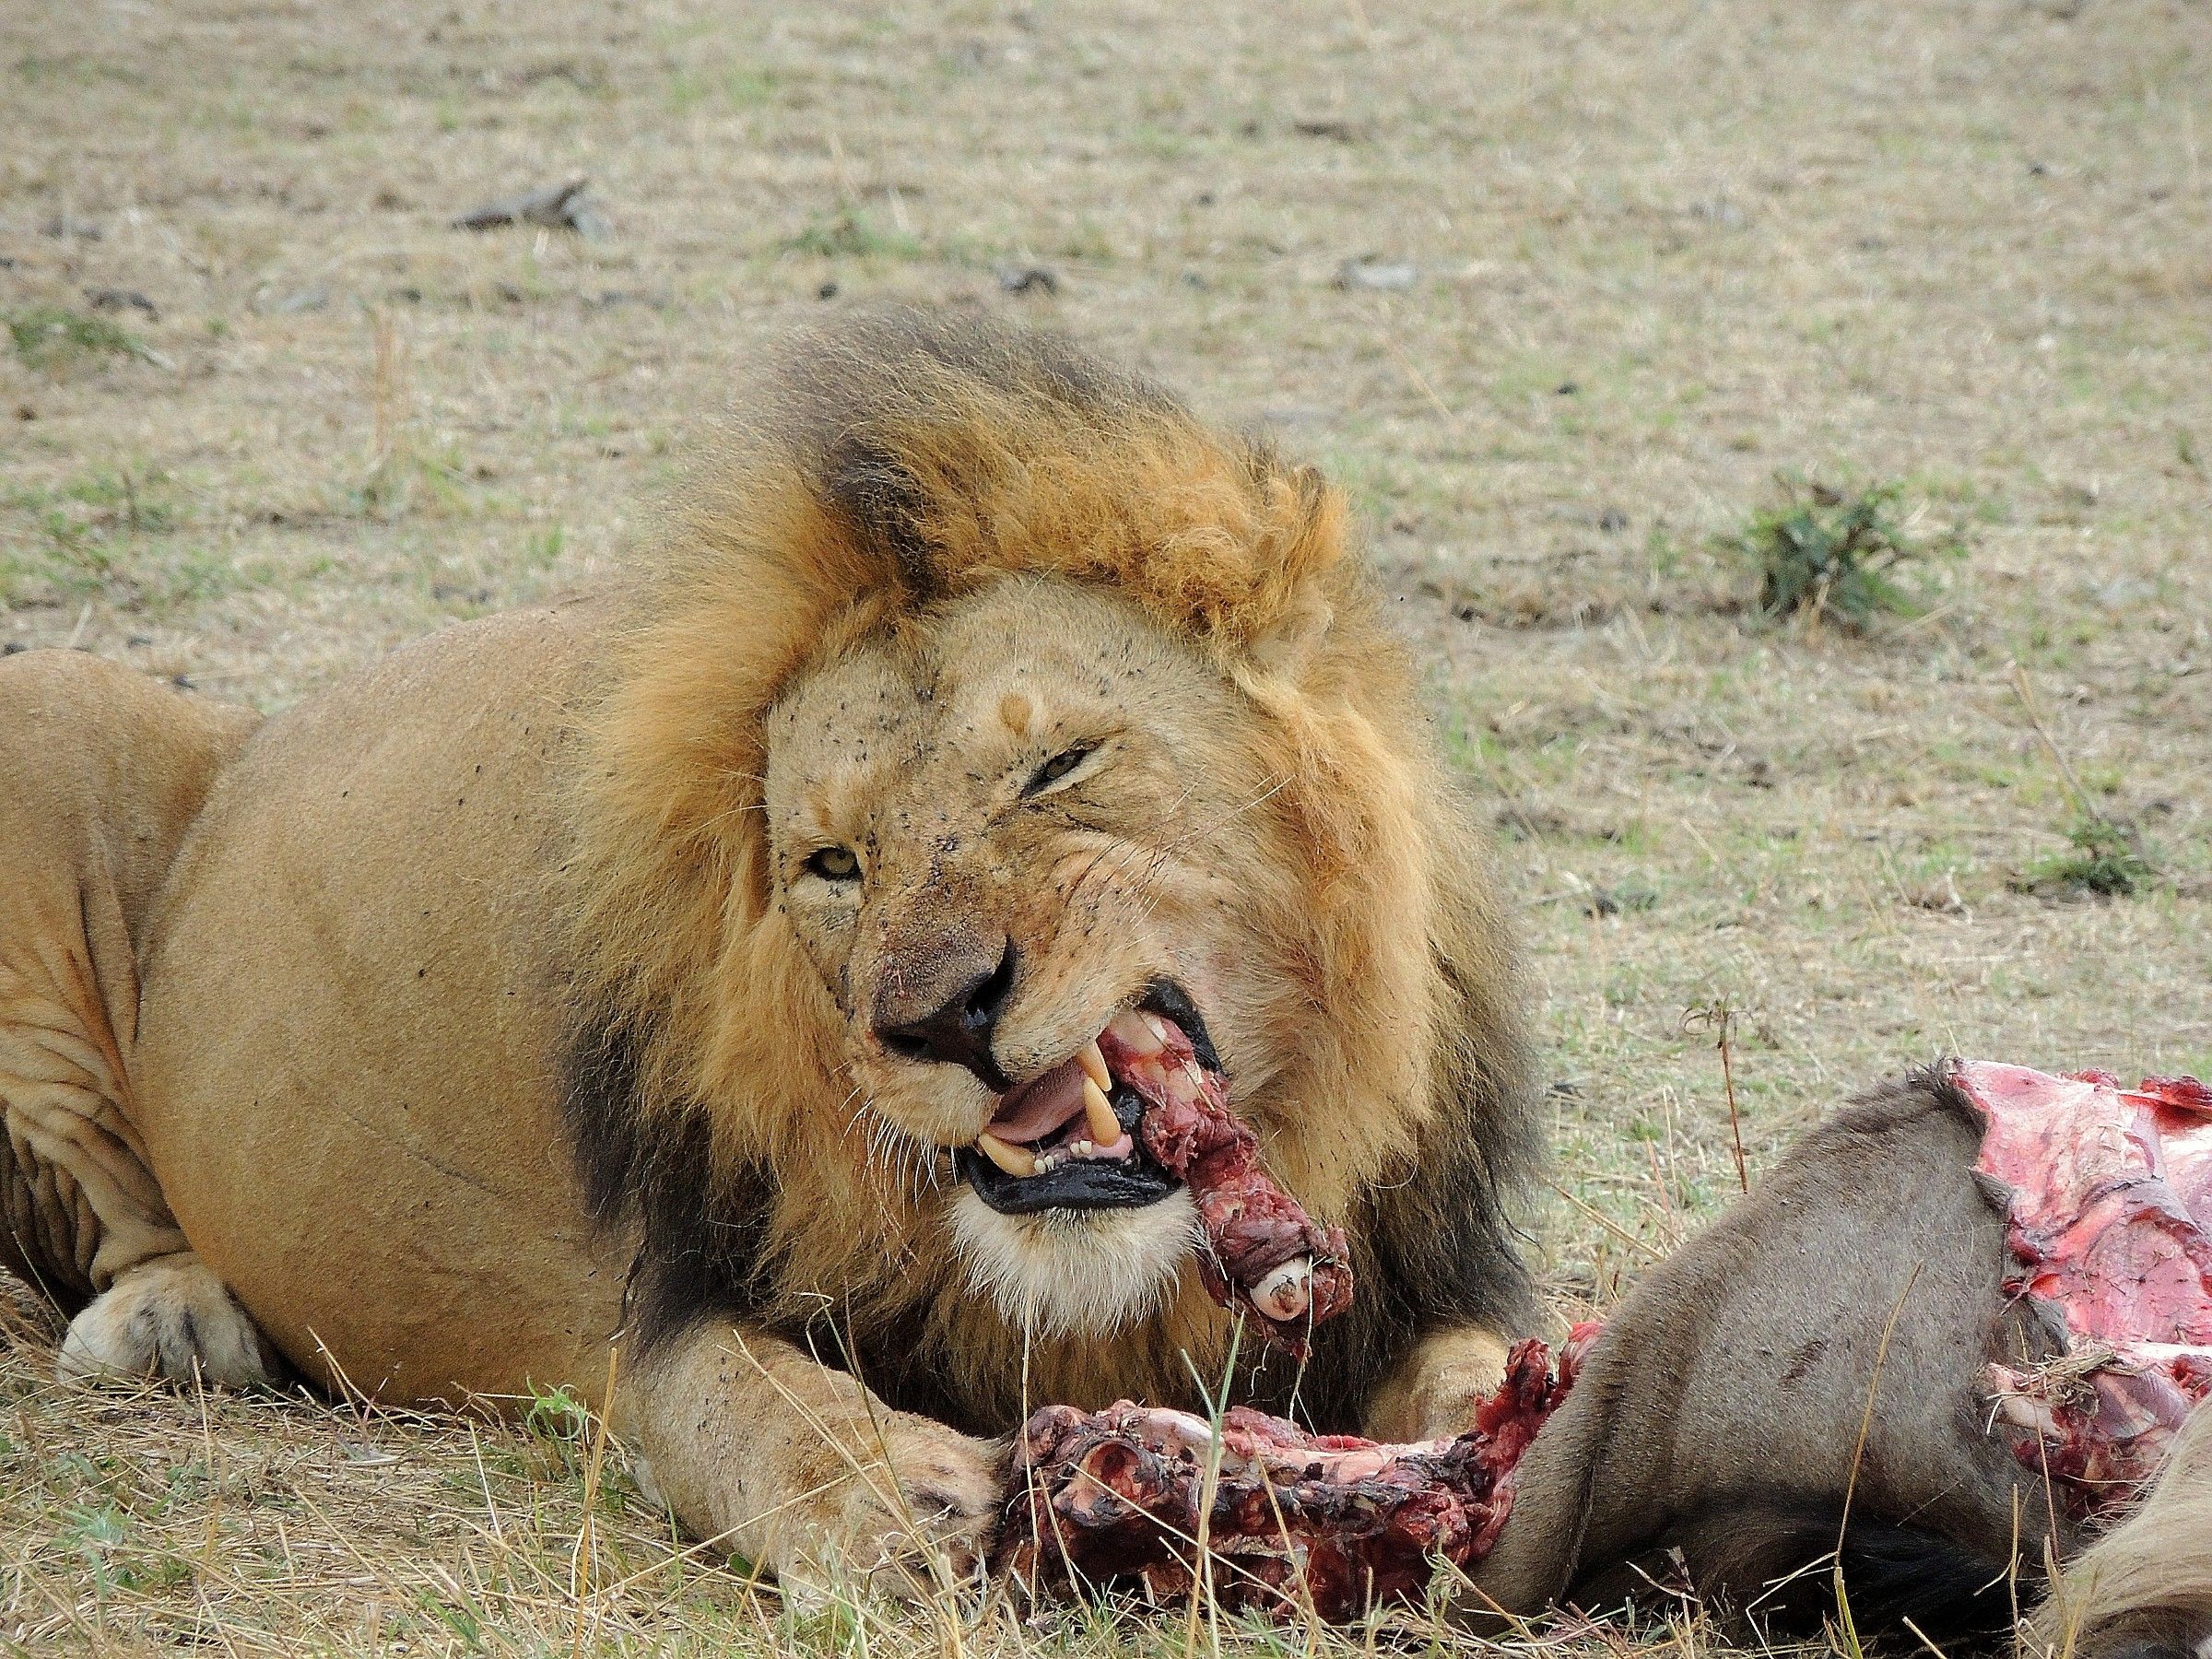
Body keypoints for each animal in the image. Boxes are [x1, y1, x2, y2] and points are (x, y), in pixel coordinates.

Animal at [0, 309, 1538, 1587]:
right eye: (832, 865)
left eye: (1059, 767)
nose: (942, 1019)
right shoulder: (666, 1310)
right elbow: (778, 1414)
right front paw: (904, 1507)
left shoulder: (1417, 1274)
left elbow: (1488, 1367)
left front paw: (1541, 1455)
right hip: (49, 705)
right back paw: (173, 1325)